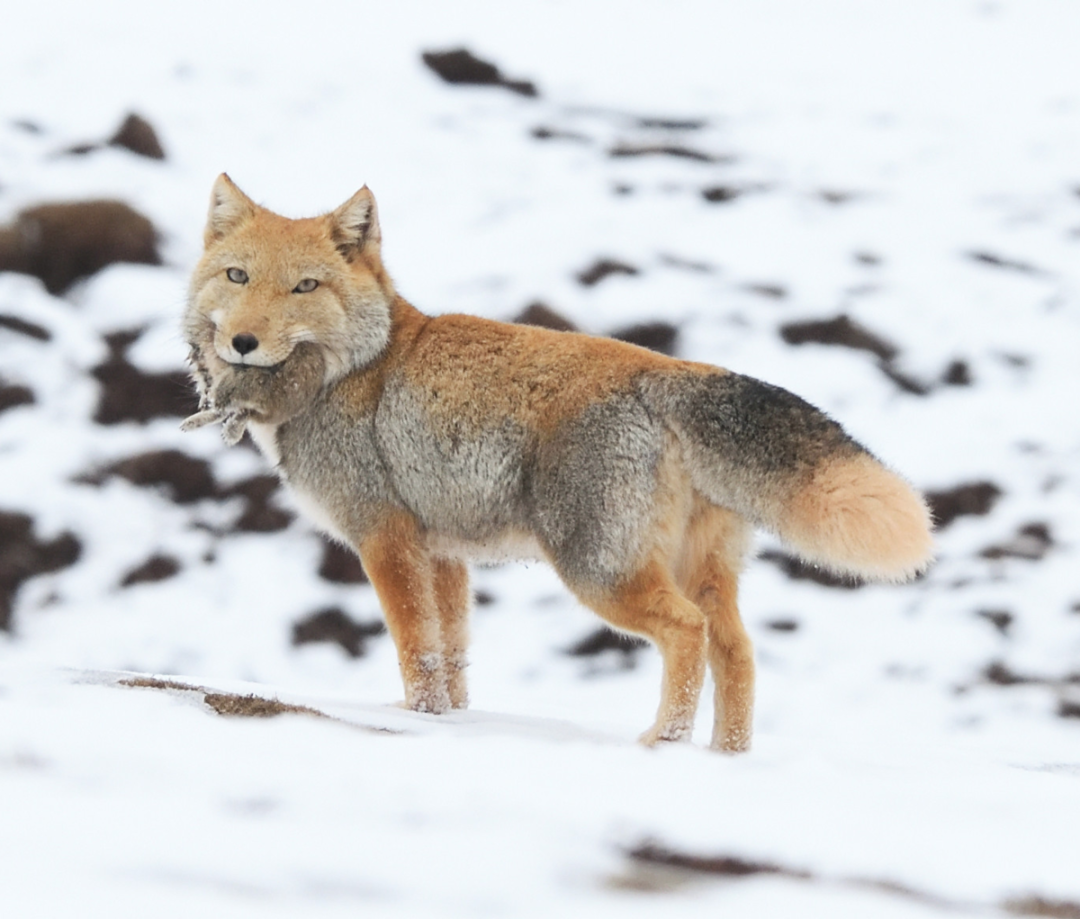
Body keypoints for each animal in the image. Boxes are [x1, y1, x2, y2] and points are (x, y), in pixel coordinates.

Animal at [181, 173, 933, 755]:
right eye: (238, 276)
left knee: (686, 633)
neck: (356, 368)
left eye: (305, 286)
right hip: (698, 571)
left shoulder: (385, 540)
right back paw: (725, 758)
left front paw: (419, 723)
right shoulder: (442, 553)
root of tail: (669, 368)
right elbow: (452, 662)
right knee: (738, 654)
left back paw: (662, 744)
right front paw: (450, 725)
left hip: (599, 570)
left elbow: (416, 653)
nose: (243, 342)